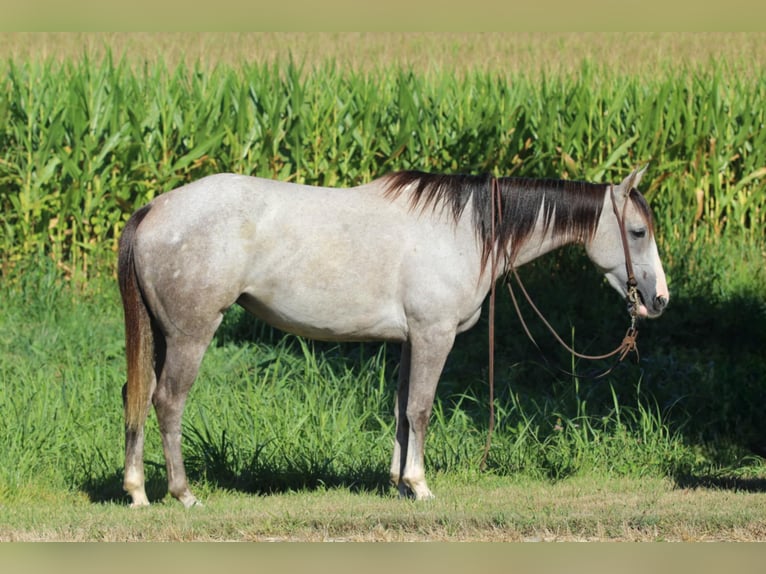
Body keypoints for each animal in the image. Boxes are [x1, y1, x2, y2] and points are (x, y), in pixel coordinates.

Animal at [117, 166, 669, 507]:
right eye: (638, 232)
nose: (658, 300)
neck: (463, 230)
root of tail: (155, 210)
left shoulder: (409, 341)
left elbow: (403, 409)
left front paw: (398, 483)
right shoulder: (433, 335)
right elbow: (421, 409)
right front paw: (419, 485)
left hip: (161, 336)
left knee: (138, 396)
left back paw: (137, 490)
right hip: (190, 335)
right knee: (168, 402)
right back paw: (183, 493)